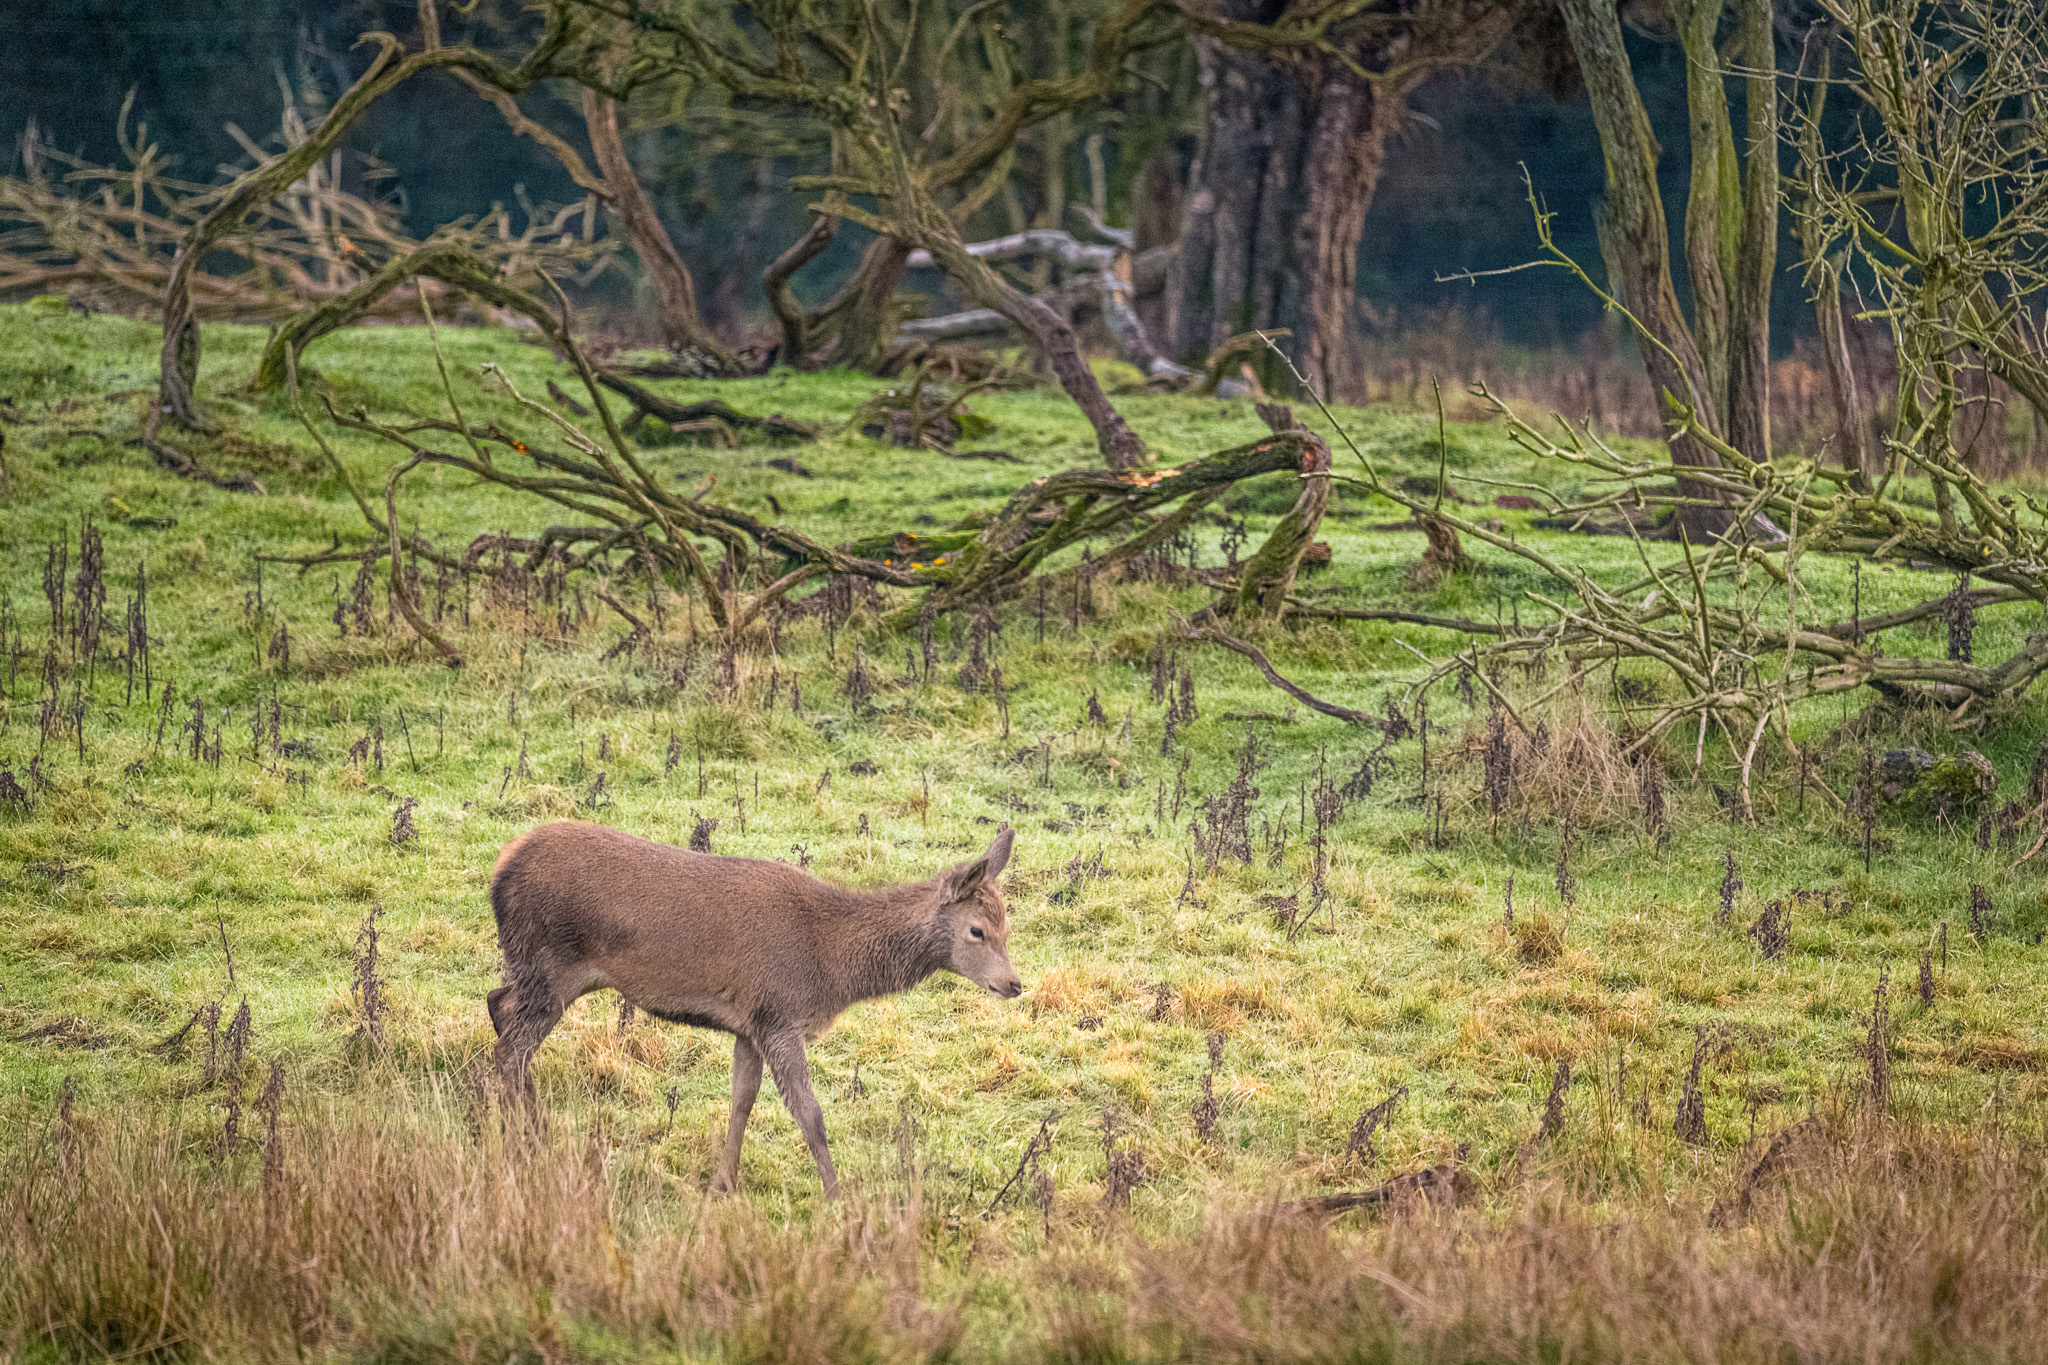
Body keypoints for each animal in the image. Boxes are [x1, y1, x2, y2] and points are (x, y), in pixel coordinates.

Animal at [486, 820, 1020, 1198]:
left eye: (1006, 925)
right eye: (977, 930)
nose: (1013, 984)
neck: (831, 965)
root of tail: (500, 867)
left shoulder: (748, 1023)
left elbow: (742, 1100)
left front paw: (724, 1185)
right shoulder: (778, 1014)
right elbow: (810, 1114)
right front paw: (838, 1198)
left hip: (540, 969)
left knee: (499, 1005)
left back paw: (533, 1128)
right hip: (551, 964)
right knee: (510, 1048)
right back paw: (523, 1147)